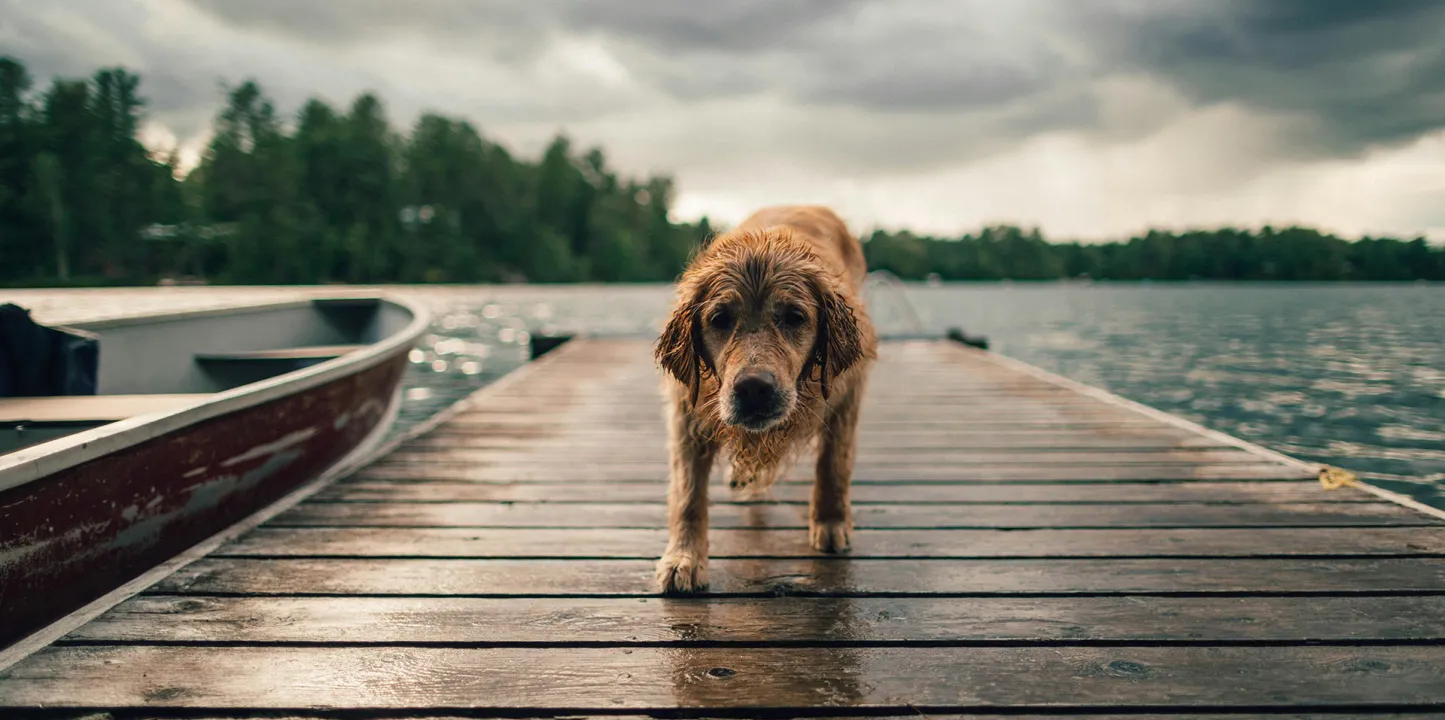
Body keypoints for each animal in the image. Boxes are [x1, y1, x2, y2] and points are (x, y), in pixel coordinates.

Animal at [658, 202, 878, 589]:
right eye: (719, 318)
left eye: (794, 317)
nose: (753, 389)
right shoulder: (687, 409)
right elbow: (688, 492)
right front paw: (683, 558)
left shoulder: (847, 390)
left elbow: (833, 463)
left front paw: (831, 521)